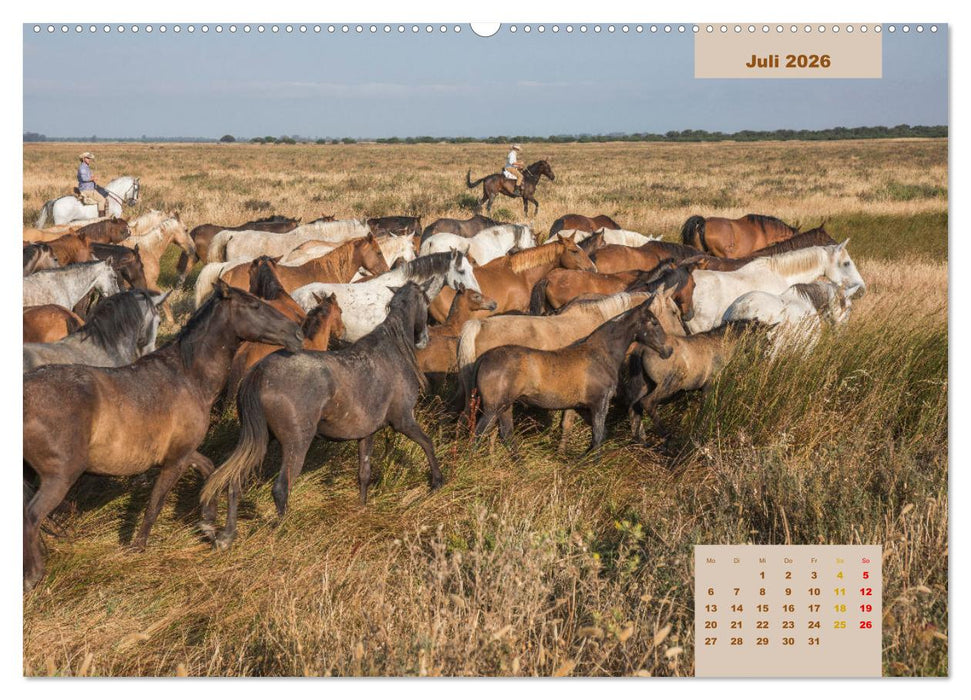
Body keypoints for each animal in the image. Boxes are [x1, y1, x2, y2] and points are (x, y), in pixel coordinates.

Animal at [198, 283, 441, 549]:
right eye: (426, 301)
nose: (424, 338)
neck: (392, 350)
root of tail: (258, 373)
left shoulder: (367, 433)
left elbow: (364, 474)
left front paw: (362, 507)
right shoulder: (403, 421)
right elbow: (428, 444)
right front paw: (437, 481)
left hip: (260, 440)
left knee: (234, 482)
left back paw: (227, 535)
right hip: (296, 445)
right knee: (280, 489)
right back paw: (284, 530)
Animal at [471, 299, 672, 453]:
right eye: (654, 322)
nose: (668, 351)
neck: (601, 354)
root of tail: (483, 359)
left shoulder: (581, 407)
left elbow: (599, 435)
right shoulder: (600, 403)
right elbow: (598, 437)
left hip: (505, 407)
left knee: (506, 436)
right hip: (494, 408)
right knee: (479, 435)